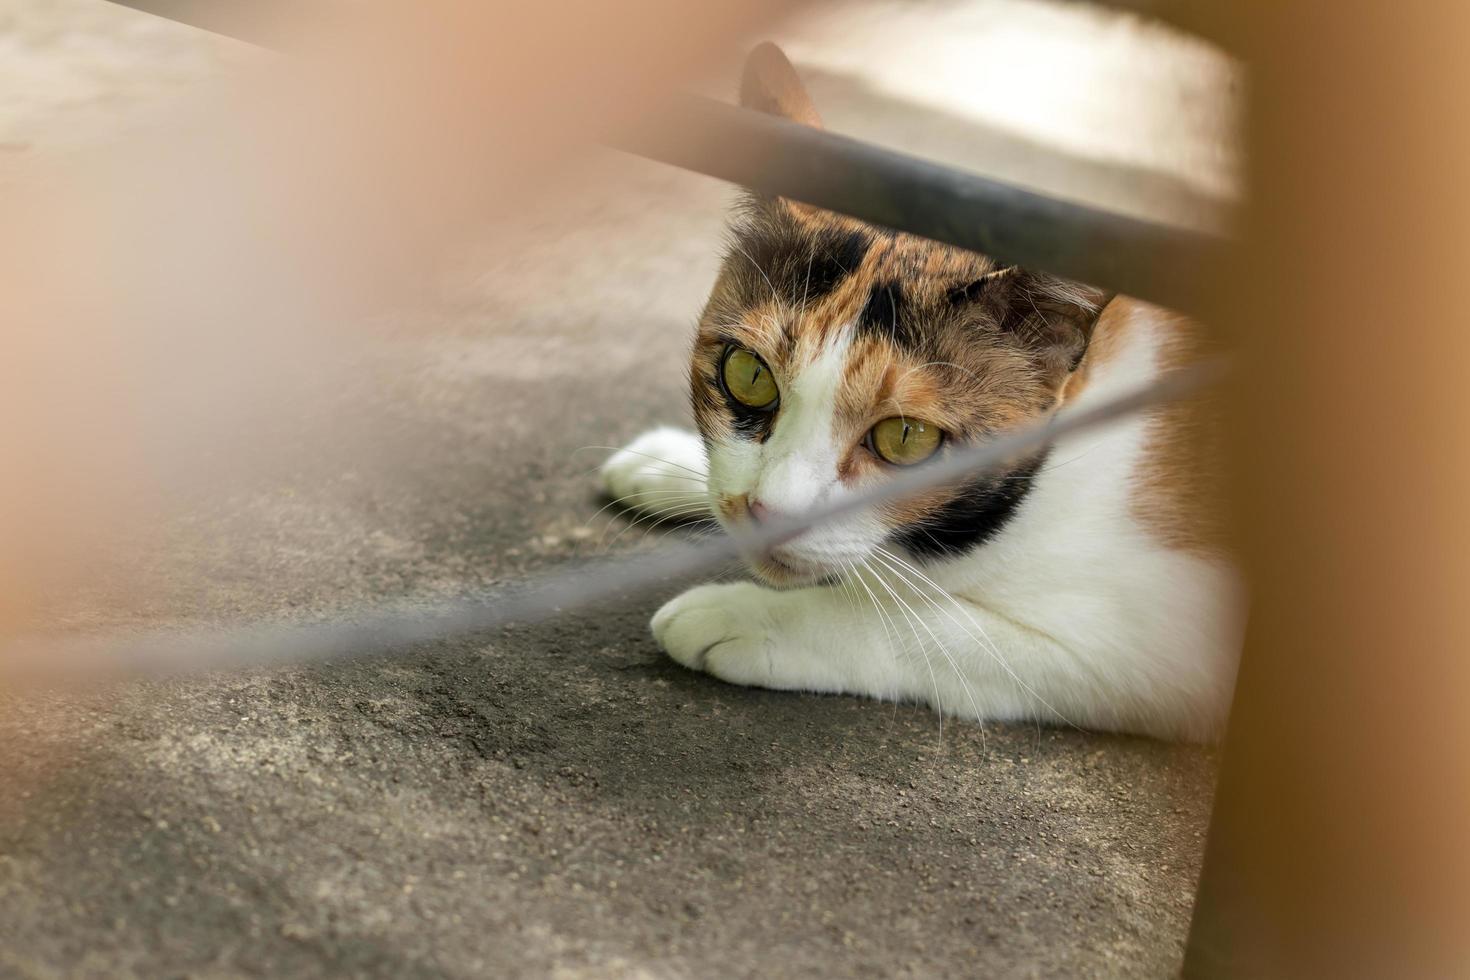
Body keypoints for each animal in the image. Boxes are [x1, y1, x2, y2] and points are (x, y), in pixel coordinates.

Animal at [602, 42, 1246, 740]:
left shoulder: (1165, 642)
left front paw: (744, 617)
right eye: (748, 375)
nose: (768, 514)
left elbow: (926, 626)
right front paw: (665, 462)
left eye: (905, 438)